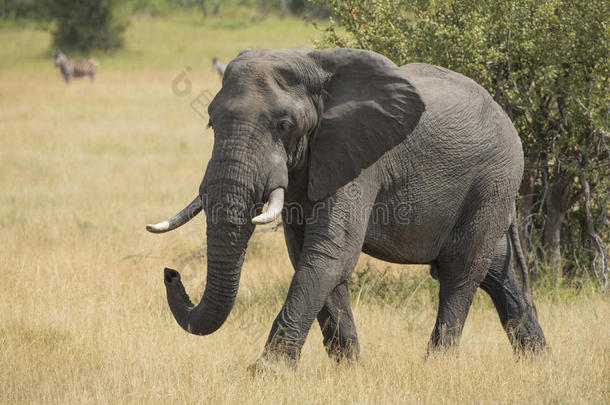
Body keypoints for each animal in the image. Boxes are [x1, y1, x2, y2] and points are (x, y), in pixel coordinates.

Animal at [145, 46, 544, 366]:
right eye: (211, 122)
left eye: (284, 124)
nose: (170, 273)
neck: (313, 67)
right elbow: (309, 256)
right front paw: (348, 370)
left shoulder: (360, 157)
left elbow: (330, 255)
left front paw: (267, 372)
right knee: (495, 272)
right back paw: (537, 363)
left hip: (493, 179)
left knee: (461, 270)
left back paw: (438, 367)